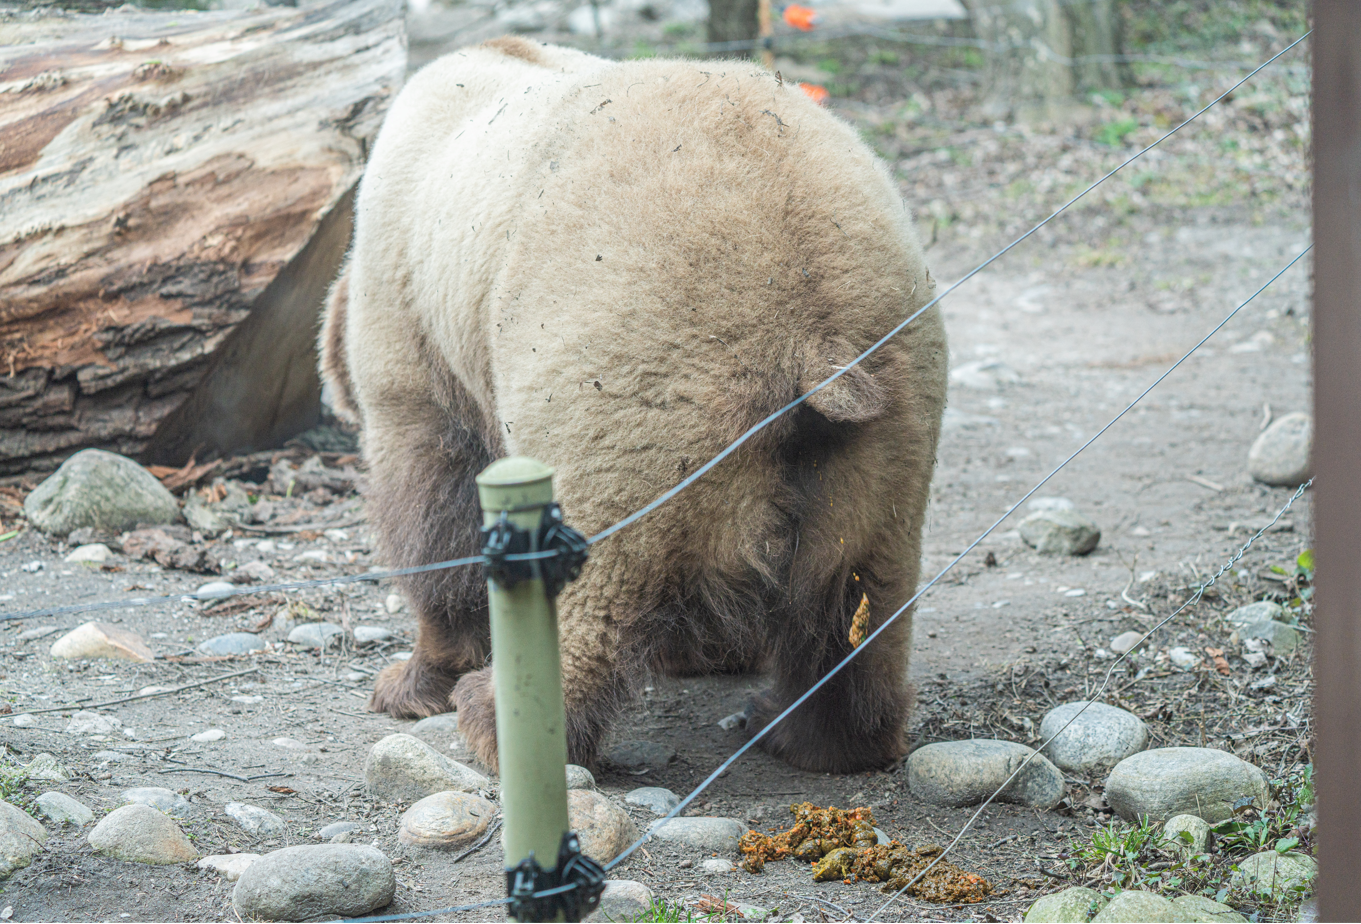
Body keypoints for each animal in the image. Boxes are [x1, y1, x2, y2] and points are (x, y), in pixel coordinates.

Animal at [320, 37, 947, 774]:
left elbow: (433, 503)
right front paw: (706, 653)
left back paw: (499, 717)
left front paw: (413, 679)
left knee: (592, 573)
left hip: (639, 385)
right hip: (888, 420)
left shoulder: (416, 321)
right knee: (859, 595)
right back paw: (821, 733)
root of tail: (809, 327)